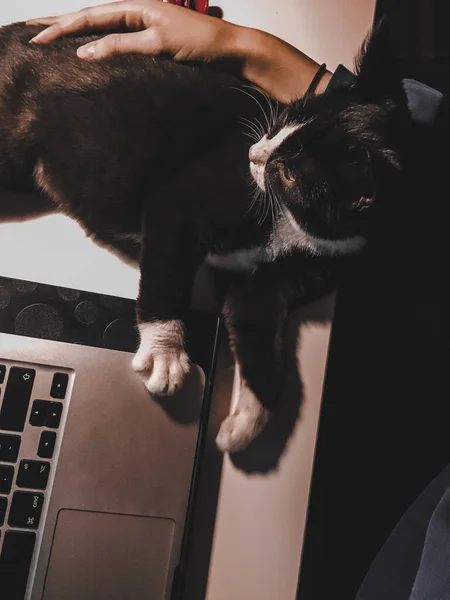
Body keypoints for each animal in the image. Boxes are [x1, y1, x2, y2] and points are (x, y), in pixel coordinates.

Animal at [0, 19, 408, 450]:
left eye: (289, 173)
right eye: (285, 118)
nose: (253, 153)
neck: (293, 227)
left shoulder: (274, 284)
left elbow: (260, 341)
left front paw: (246, 423)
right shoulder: (178, 203)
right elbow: (168, 277)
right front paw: (166, 353)